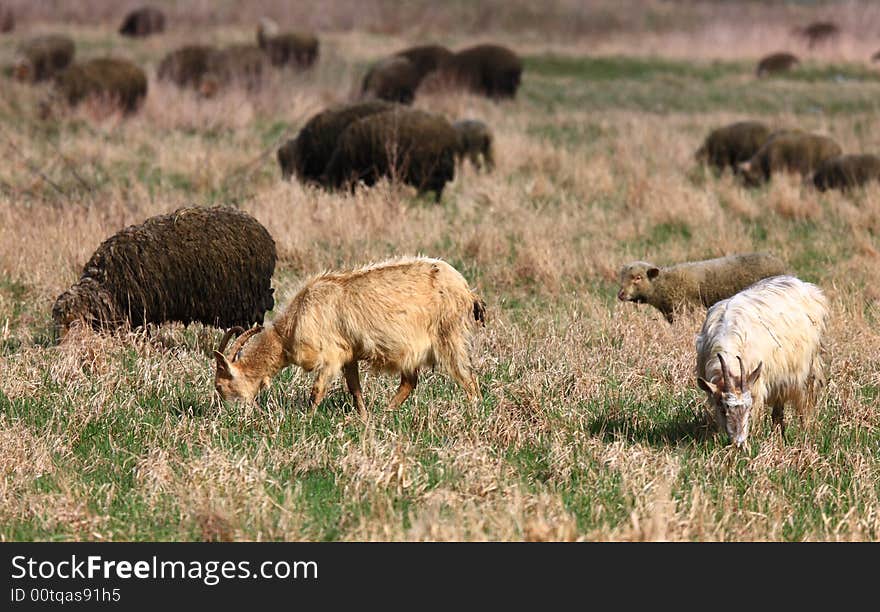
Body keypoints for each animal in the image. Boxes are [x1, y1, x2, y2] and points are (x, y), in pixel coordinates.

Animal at [214, 256, 488, 414]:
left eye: (219, 385)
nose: (229, 415)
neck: (288, 331)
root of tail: (466, 290)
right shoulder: (349, 355)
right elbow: (355, 388)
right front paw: (364, 418)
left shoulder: (330, 356)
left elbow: (316, 392)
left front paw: (306, 419)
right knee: (410, 382)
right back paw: (385, 414)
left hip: (449, 337)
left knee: (468, 379)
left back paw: (474, 412)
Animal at [696, 274, 828, 448]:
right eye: (723, 409)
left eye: (749, 409)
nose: (739, 443)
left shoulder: (757, 386)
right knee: (779, 409)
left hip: (810, 368)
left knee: (805, 403)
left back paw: (805, 431)